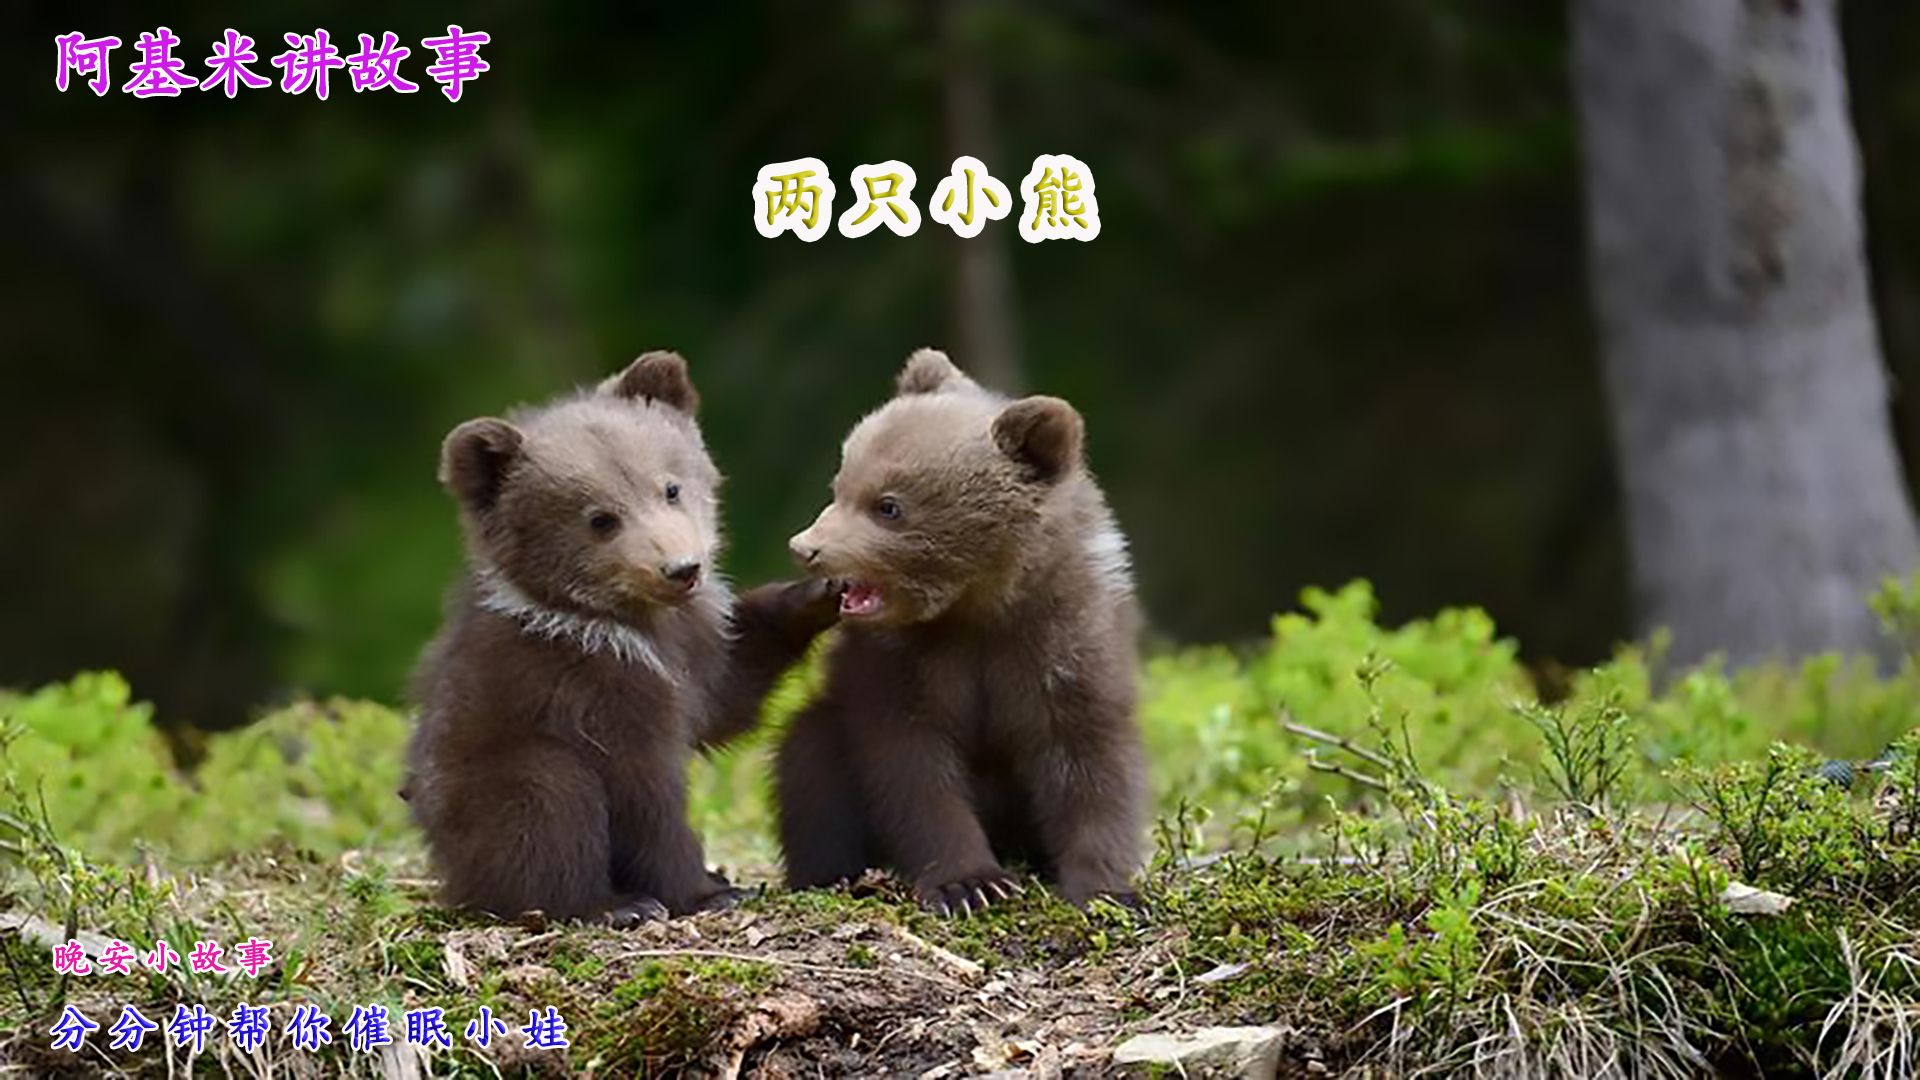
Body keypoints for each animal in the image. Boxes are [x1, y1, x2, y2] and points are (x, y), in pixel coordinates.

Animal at [406, 350, 837, 924]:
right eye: (601, 518)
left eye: (670, 487)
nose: (682, 569)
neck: (632, 626)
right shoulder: (592, 688)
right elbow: (645, 796)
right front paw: (704, 891)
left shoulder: (694, 650)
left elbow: (728, 692)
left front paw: (819, 591)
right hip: (497, 773)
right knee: (549, 806)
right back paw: (612, 904)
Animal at [775, 348, 1147, 915]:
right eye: (839, 486)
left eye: (888, 505)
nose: (805, 547)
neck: (977, 607)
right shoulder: (899, 667)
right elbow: (914, 771)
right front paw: (969, 883)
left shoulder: (1065, 643)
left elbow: (1089, 761)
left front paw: (1109, 890)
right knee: (808, 764)